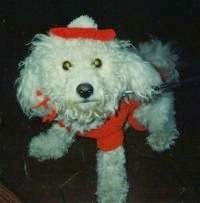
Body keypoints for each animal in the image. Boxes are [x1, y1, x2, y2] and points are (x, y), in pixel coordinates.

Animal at [16, 15, 180, 201]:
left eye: (97, 62)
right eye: (66, 65)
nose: (85, 90)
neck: (87, 113)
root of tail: (159, 68)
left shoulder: (111, 138)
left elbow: (111, 171)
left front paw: (111, 194)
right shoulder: (67, 122)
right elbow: (58, 133)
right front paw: (46, 146)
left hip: (146, 113)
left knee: (167, 120)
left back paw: (162, 137)